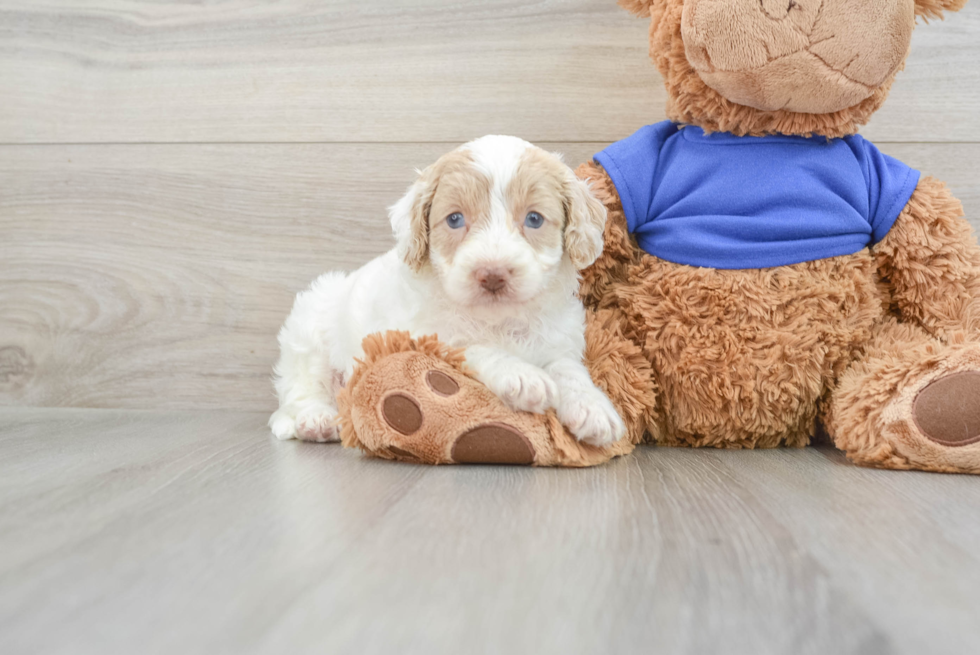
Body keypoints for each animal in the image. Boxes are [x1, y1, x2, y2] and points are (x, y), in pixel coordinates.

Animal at [270, 136, 628, 448]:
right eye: (455, 219)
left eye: (534, 219)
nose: (492, 274)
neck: (499, 320)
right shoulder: (428, 337)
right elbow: (476, 348)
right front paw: (522, 375)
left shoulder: (558, 339)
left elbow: (568, 369)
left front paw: (592, 407)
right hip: (309, 333)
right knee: (301, 390)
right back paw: (316, 420)